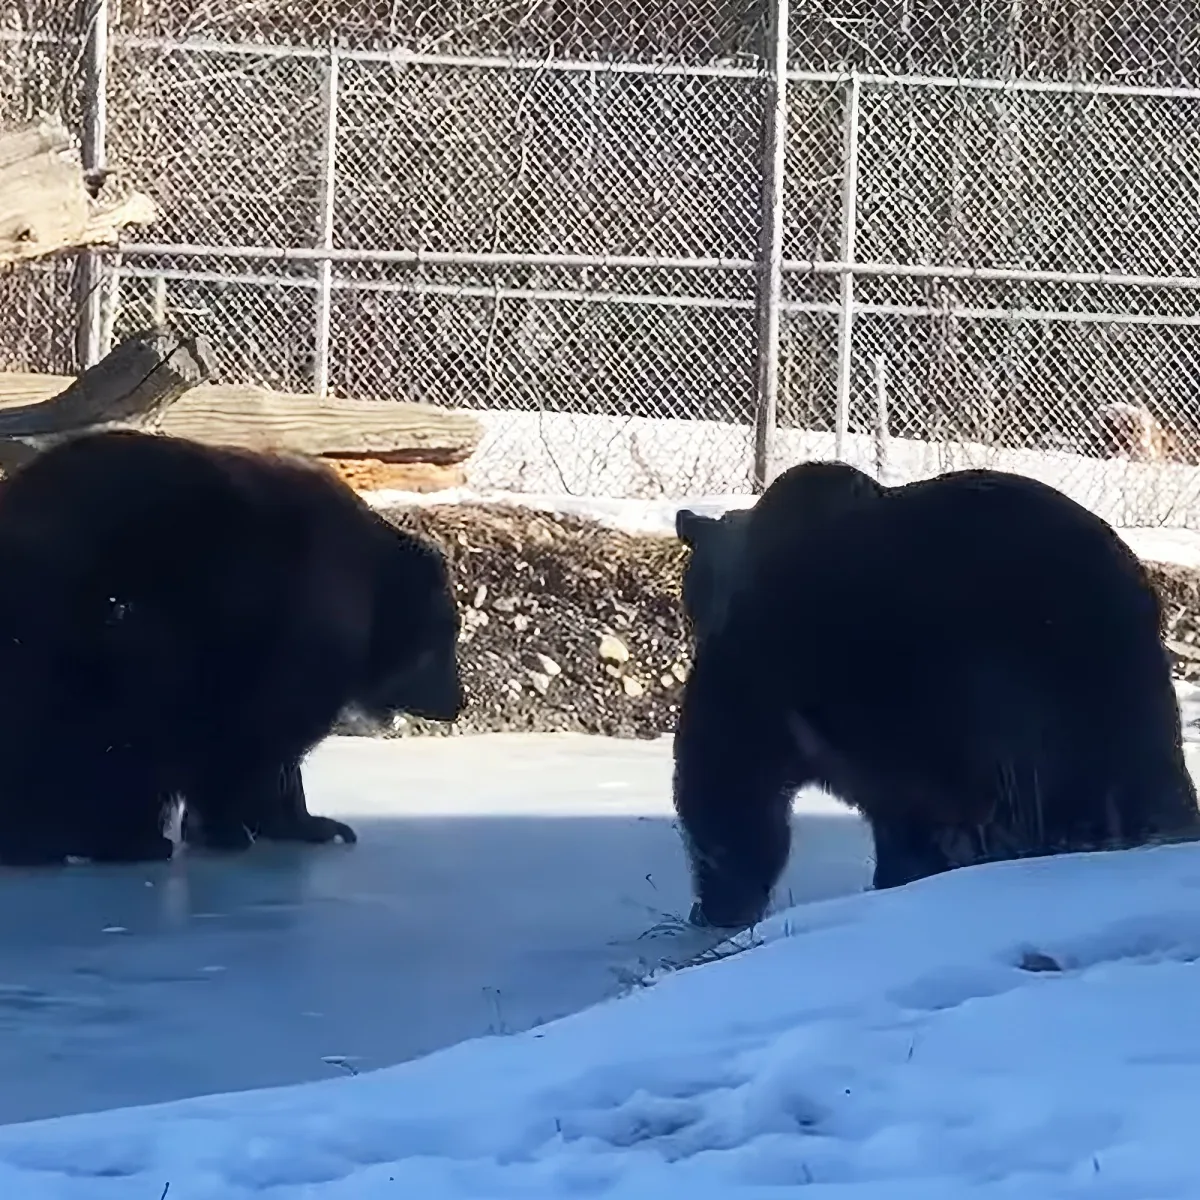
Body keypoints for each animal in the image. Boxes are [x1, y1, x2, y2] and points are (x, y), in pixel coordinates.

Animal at [0, 428, 464, 866]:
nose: (456, 702)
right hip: (110, 624)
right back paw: (110, 840)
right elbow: (262, 737)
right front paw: (272, 824)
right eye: (445, 639)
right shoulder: (293, 630)